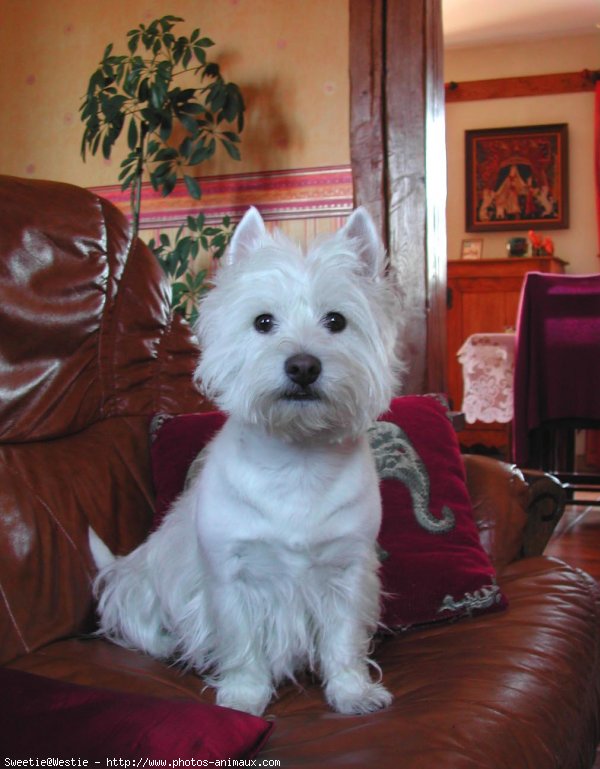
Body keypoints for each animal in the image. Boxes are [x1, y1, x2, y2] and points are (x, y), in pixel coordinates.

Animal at [91, 207, 400, 716]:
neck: (297, 461)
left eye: (336, 320)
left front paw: (352, 692)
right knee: (138, 623)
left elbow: (342, 639)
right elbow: (241, 642)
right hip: (139, 585)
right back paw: (171, 646)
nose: (302, 366)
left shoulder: (347, 569)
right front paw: (242, 697)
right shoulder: (229, 574)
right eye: (263, 321)